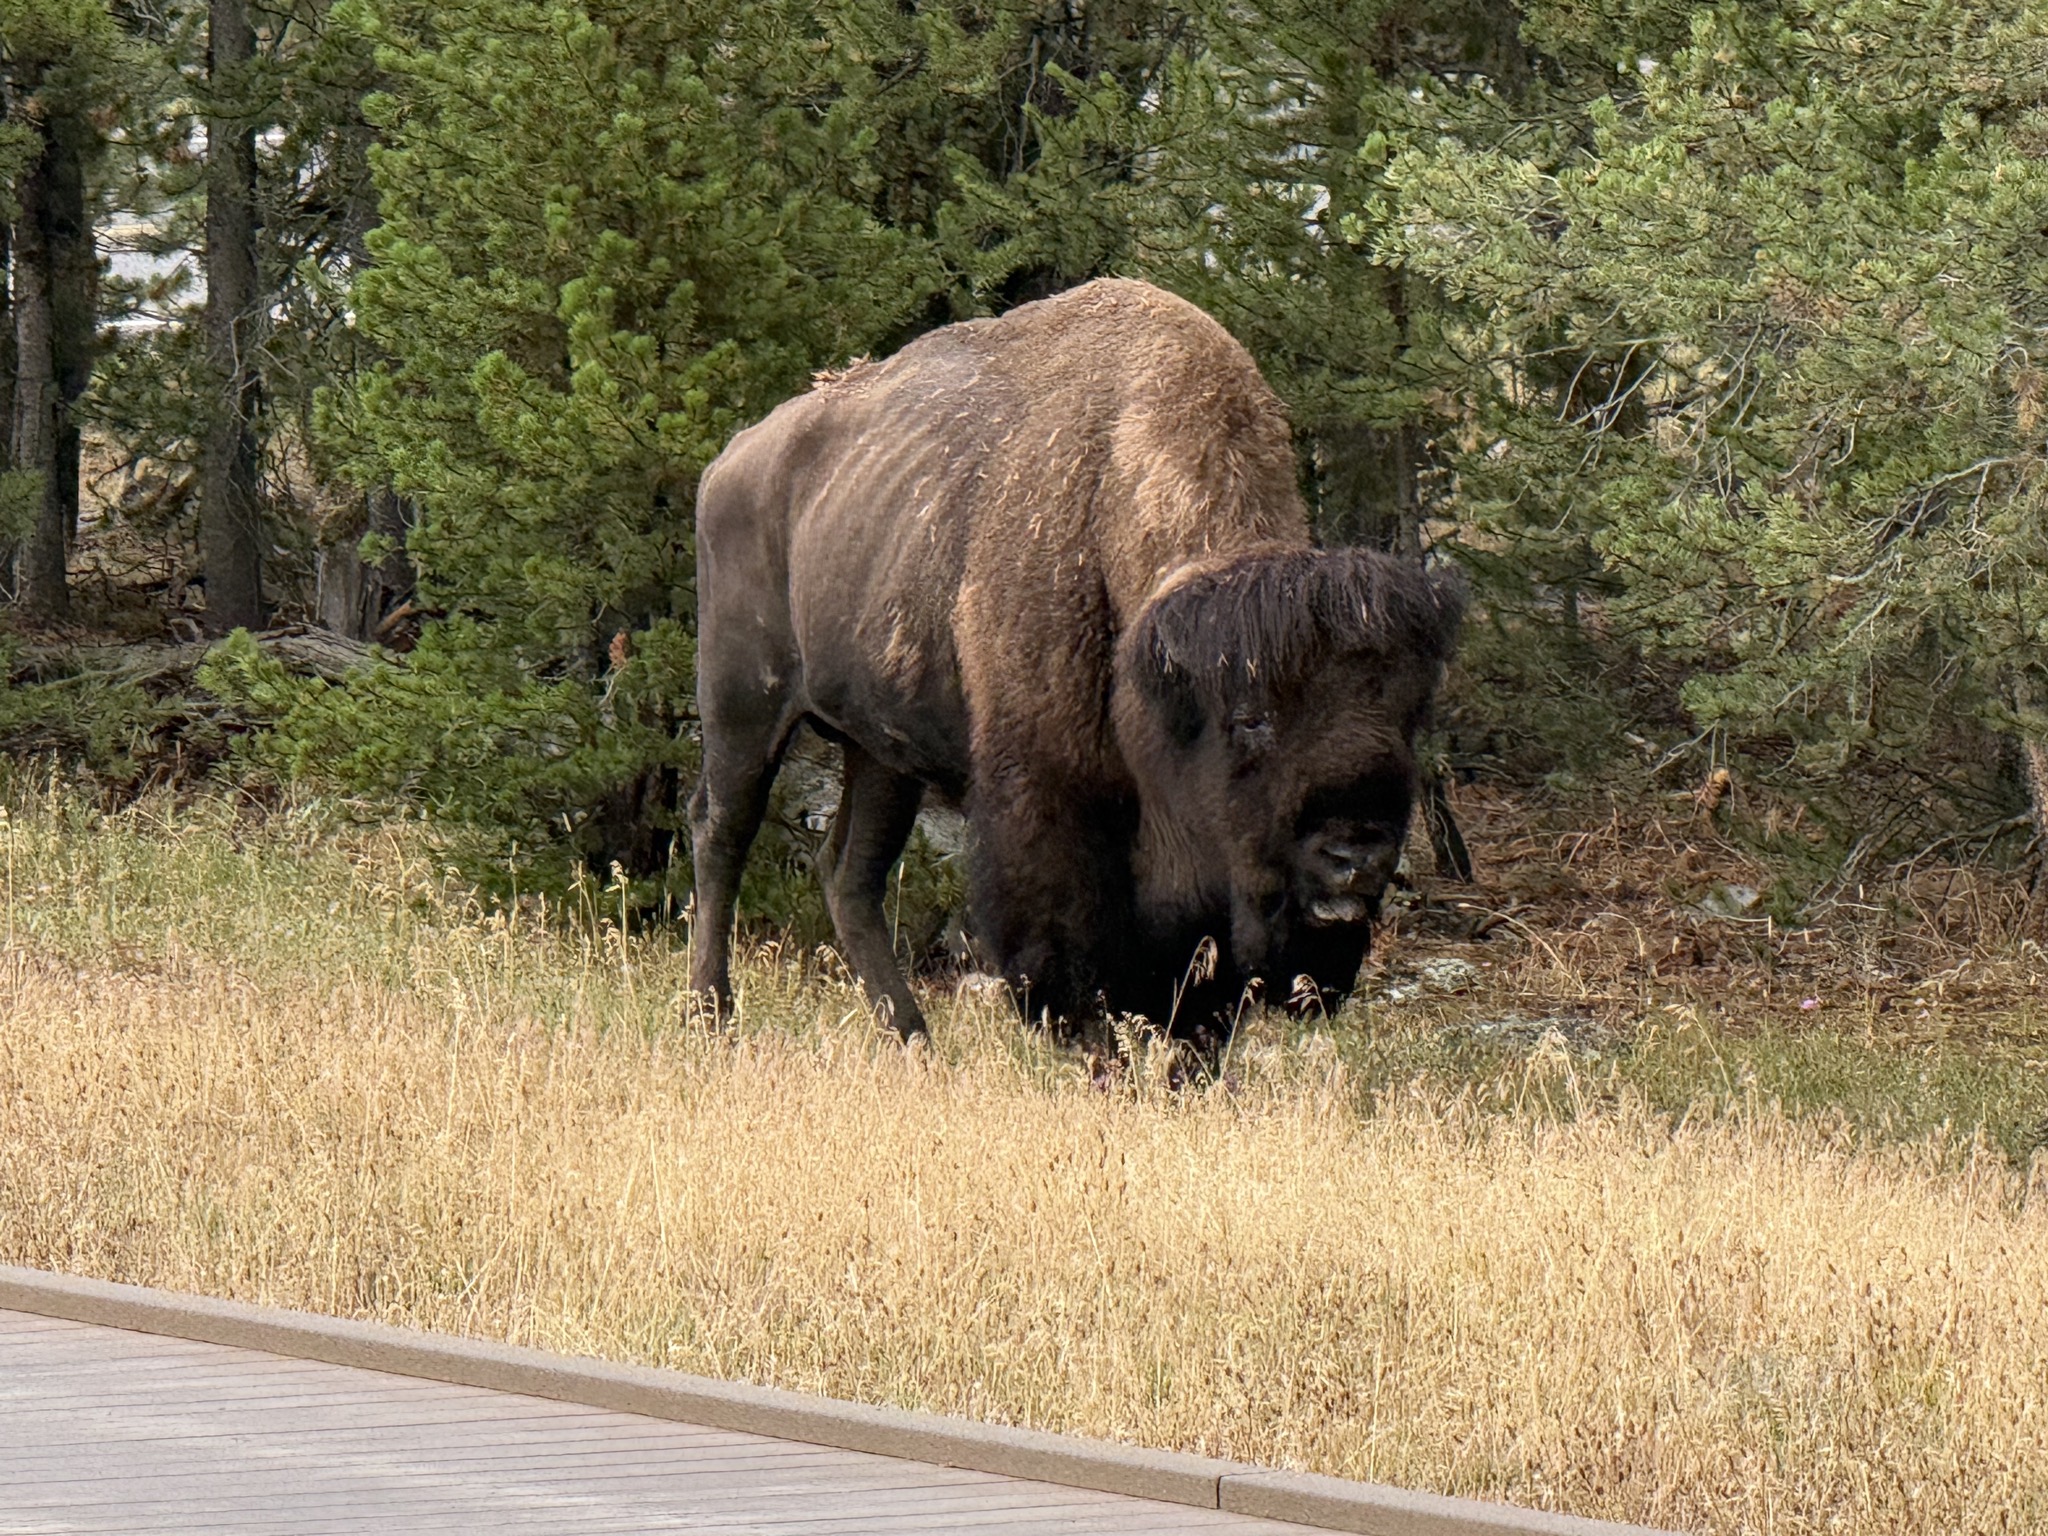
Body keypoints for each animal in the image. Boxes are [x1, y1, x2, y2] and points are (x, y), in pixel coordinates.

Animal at [688, 278, 1463, 1039]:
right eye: (1251, 718)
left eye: (1408, 718)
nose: (1355, 853)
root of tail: (731, 459)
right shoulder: (1051, 805)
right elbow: (1075, 962)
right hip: (743, 704)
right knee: (721, 833)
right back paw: (712, 1015)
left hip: (879, 750)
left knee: (849, 874)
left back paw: (913, 1040)